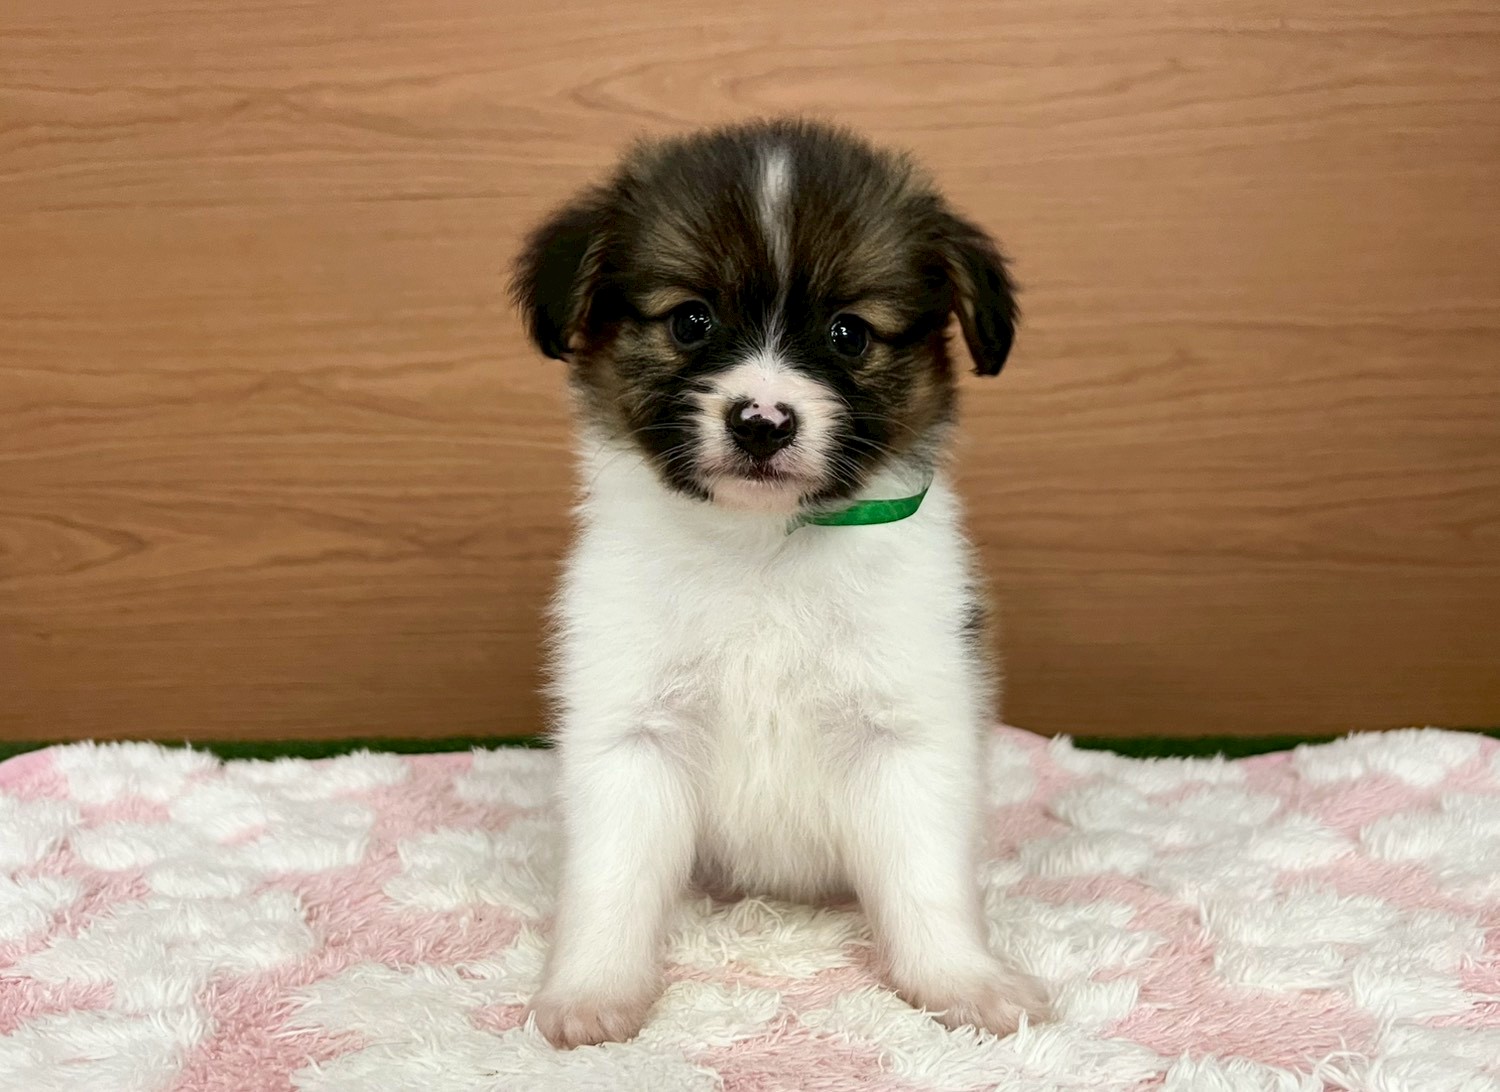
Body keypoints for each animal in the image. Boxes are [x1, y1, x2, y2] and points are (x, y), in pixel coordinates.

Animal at [511, 118, 1048, 1049]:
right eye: (691, 321)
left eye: (848, 333)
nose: (762, 421)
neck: (760, 550)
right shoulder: (632, 733)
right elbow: (612, 882)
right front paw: (591, 990)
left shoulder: (905, 733)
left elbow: (926, 882)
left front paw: (963, 982)